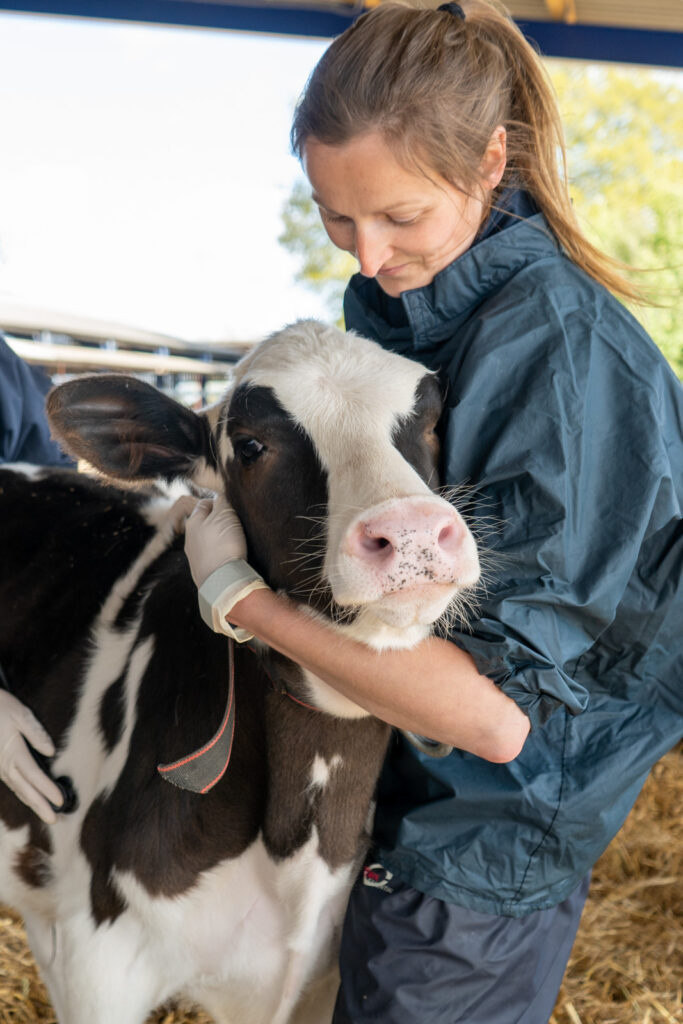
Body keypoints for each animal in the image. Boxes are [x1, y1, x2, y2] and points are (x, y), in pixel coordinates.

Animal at [0, 320, 480, 1024]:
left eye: (432, 420)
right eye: (252, 445)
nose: (412, 532)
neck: (298, 847)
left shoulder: (314, 980)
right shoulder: (93, 964)